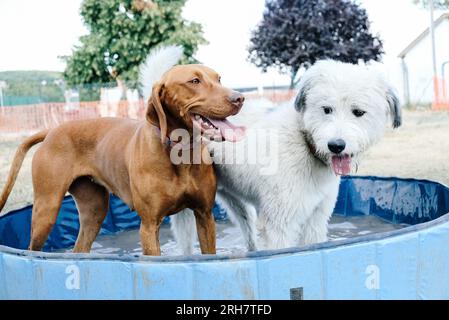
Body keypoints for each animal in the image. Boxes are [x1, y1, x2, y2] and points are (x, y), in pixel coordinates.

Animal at [0, 65, 245, 255]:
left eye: (218, 78)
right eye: (194, 81)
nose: (239, 98)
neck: (179, 152)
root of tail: (52, 131)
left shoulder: (205, 216)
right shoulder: (149, 226)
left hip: (94, 210)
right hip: (47, 209)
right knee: (33, 251)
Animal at [170, 60, 400, 252]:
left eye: (358, 112)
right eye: (326, 109)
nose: (336, 145)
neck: (305, 143)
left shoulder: (316, 219)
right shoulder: (280, 223)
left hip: (236, 203)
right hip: (187, 212)